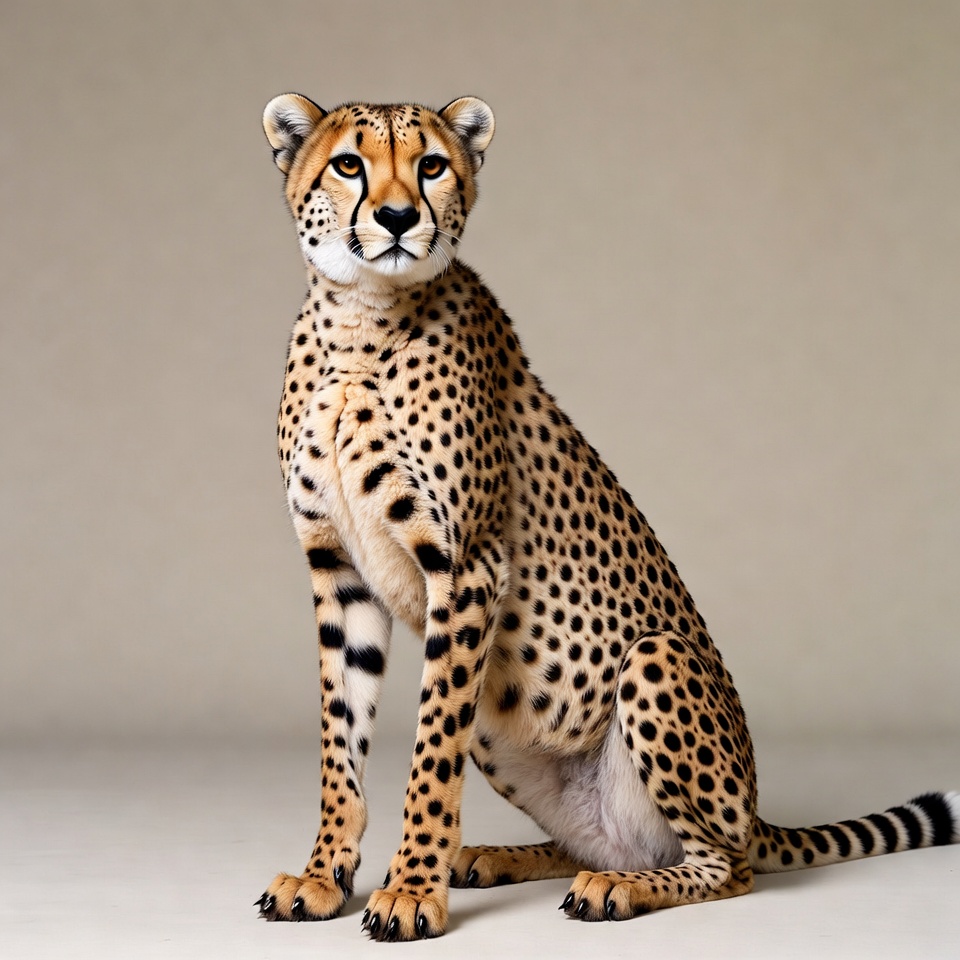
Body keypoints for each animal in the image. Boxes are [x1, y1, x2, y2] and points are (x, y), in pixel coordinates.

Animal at [254, 93, 959, 941]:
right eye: (348, 165)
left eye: (431, 166)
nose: (396, 218)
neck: (359, 320)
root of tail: (754, 808)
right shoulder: (339, 571)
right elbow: (341, 737)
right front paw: (327, 874)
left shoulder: (467, 567)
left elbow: (430, 754)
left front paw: (412, 888)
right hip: (503, 725)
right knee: (595, 839)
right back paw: (500, 858)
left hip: (654, 661)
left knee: (728, 869)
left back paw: (616, 888)